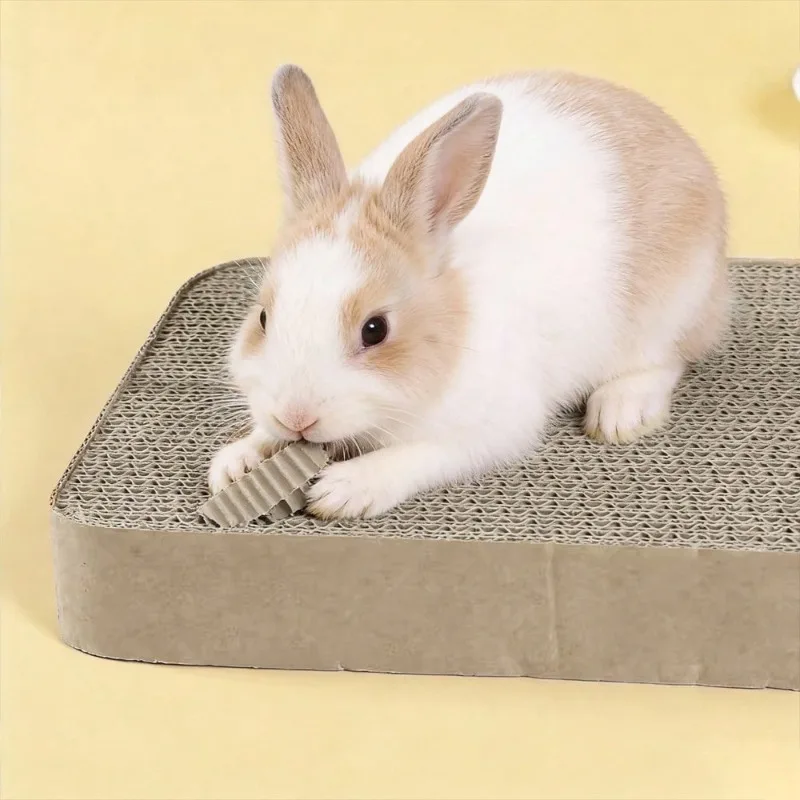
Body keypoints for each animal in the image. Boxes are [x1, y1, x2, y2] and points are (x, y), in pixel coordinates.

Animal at [208, 65, 728, 519]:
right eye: (263, 318)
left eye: (375, 330)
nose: (296, 416)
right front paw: (234, 463)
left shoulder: (495, 425)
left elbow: (421, 454)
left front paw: (346, 489)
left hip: (671, 308)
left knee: (667, 360)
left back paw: (620, 413)